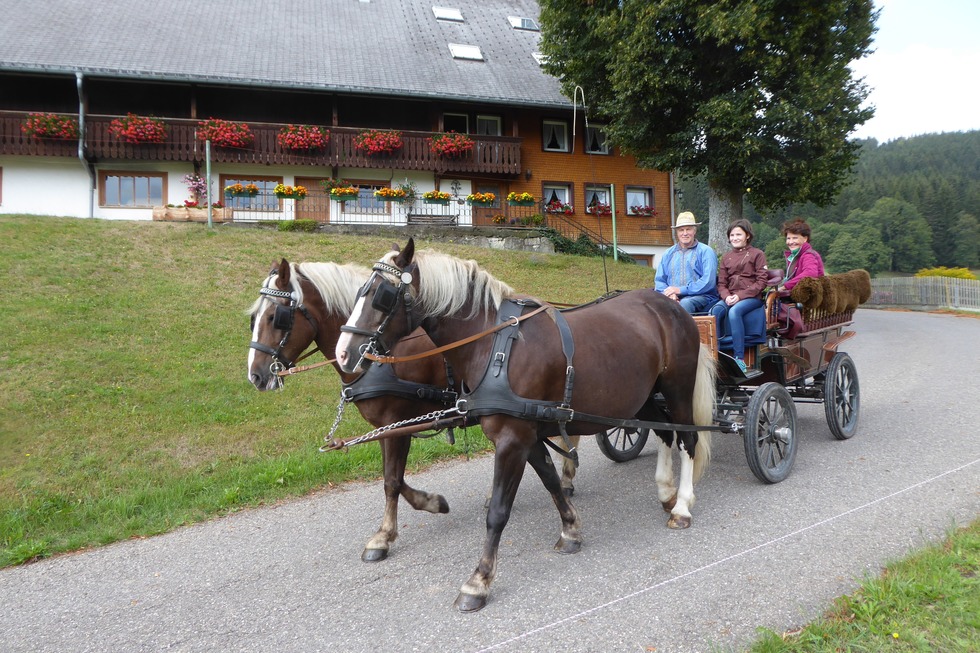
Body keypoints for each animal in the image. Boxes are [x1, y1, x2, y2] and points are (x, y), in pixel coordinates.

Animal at [247, 258, 580, 560]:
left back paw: (567, 477)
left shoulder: (397, 423)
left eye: (276, 316)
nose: (255, 376)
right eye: (253, 318)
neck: (380, 357)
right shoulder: (387, 427)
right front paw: (430, 503)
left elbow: (392, 481)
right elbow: (392, 478)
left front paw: (386, 534)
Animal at [334, 239, 712, 612]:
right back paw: (666, 491)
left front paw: (479, 581)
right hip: (640, 395)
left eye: (382, 295)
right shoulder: (528, 433)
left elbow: (499, 511)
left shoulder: (512, 438)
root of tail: (670, 306)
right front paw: (571, 530)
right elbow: (551, 480)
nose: (343, 354)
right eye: (359, 292)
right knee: (663, 431)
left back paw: (682, 505)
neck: (493, 345)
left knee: (687, 440)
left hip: (677, 388)